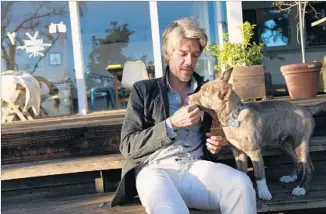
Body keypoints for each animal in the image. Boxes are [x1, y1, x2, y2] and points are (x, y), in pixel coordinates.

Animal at [188, 68, 326, 201]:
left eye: (204, 94)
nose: (188, 97)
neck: (235, 117)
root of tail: (306, 109)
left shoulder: (255, 152)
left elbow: (259, 175)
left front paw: (264, 193)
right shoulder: (238, 152)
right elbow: (242, 171)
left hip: (300, 144)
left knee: (309, 167)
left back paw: (301, 188)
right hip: (285, 145)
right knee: (297, 160)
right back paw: (291, 177)